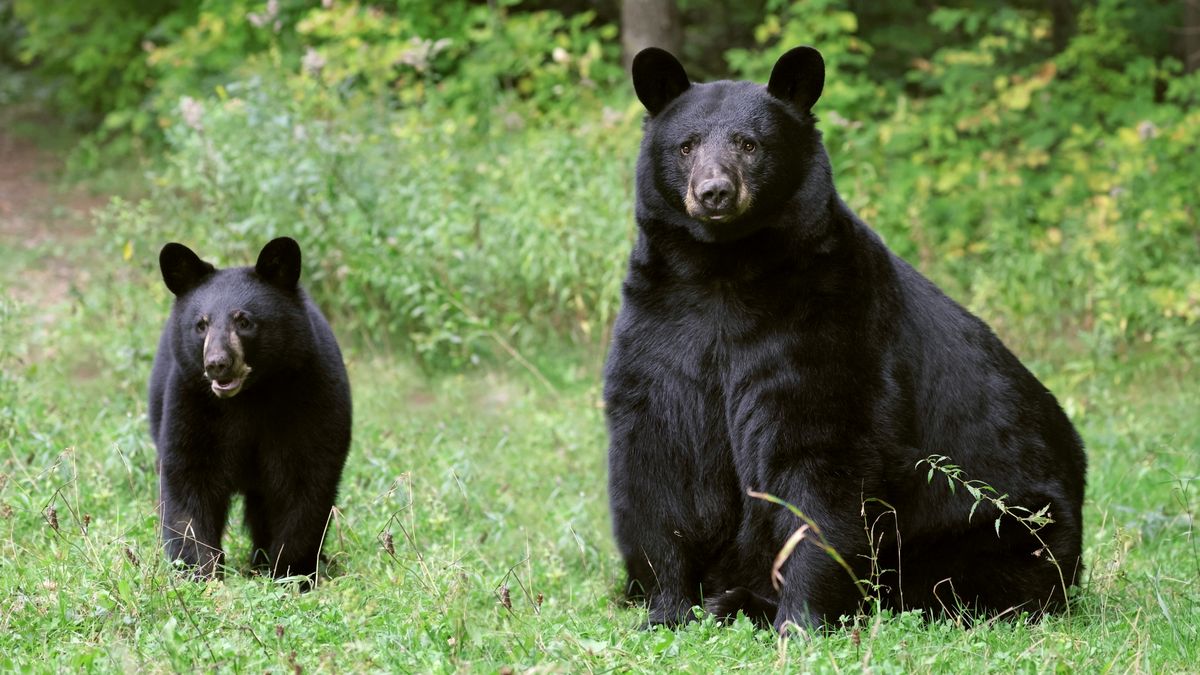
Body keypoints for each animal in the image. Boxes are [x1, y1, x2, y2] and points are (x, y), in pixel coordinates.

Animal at [149, 237, 350, 583]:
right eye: (201, 325)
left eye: (244, 322)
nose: (217, 363)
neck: (248, 398)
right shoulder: (189, 402)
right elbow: (188, 482)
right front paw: (199, 572)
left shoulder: (311, 396)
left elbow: (305, 482)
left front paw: (291, 572)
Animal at [609, 48, 1089, 629]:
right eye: (686, 145)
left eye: (750, 143)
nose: (715, 192)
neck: (723, 270)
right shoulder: (661, 324)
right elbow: (659, 462)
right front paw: (666, 606)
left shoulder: (831, 321)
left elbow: (820, 462)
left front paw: (801, 618)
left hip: (1003, 523)